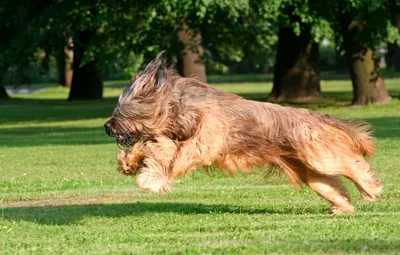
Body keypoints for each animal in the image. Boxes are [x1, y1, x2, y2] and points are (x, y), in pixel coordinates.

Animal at [103, 52, 382, 214]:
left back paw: (370, 188)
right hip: (309, 171)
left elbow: (170, 152)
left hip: (320, 156)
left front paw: (151, 177)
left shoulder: (205, 140)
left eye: (120, 112)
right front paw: (129, 162)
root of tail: (314, 116)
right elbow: (151, 146)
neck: (179, 107)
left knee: (353, 163)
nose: (106, 126)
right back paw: (343, 207)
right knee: (331, 186)